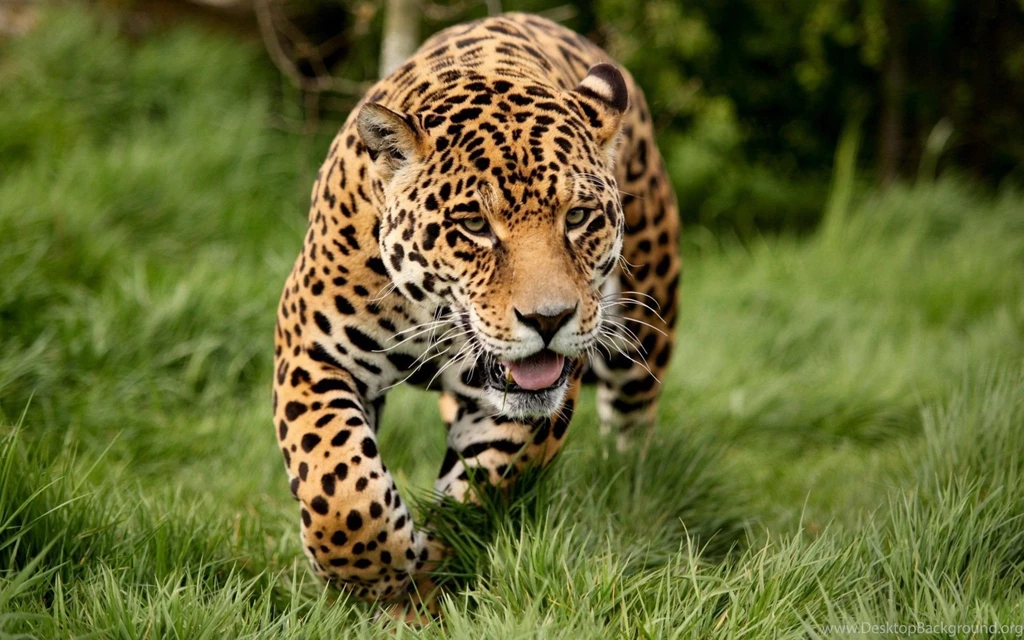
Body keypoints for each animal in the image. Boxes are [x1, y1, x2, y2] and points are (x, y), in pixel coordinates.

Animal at [272, 12, 681, 614]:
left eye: (577, 217)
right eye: (473, 226)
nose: (549, 320)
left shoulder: (528, 407)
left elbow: (478, 488)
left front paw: (426, 573)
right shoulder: (312, 351)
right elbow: (338, 484)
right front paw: (373, 577)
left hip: (645, 327)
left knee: (632, 423)